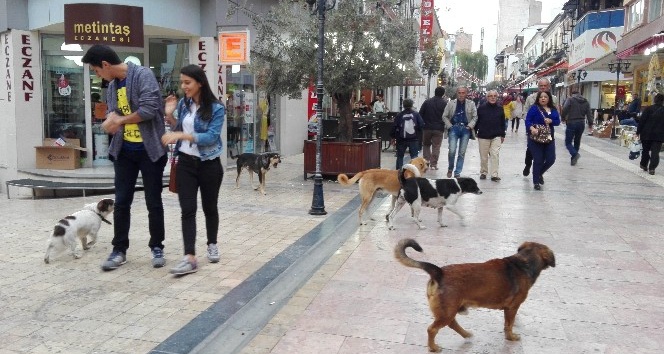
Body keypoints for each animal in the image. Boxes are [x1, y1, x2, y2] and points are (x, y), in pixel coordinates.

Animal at [394, 238, 556, 352]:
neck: (524, 262)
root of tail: (439, 272)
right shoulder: (512, 308)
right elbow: (509, 325)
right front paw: (511, 337)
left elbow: (507, 325)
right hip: (447, 311)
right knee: (432, 329)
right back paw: (433, 347)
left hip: (449, 310)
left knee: (452, 324)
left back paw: (466, 334)